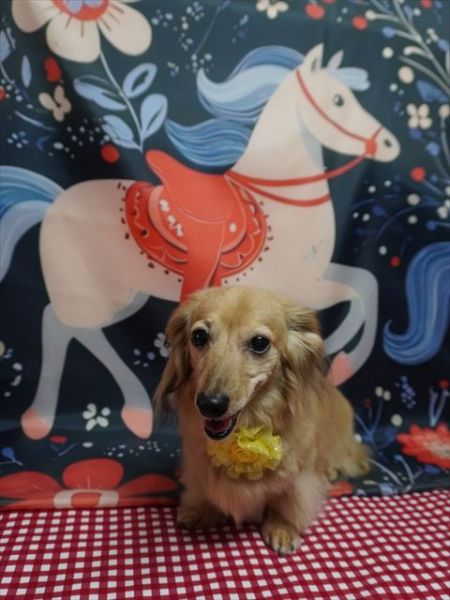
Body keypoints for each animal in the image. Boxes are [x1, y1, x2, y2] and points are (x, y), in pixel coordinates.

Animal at [0, 44, 400, 440]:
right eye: (339, 99)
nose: (390, 143)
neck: (278, 200)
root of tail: (52, 204)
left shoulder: (309, 281)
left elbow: (367, 287)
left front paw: (335, 359)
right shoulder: (301, 286)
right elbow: (363, 294)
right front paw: (342, 362)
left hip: (124, 296)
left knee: (62, 326)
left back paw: (53, 418)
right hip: (93, 295)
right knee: (68, 327)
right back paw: (117, 411)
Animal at [155, 286, 369, 554]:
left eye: (259, 343)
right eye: (199, 337)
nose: (210, 404)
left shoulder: (298, 479)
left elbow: (287, 502)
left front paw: (282, 527)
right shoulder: (199, 466)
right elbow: (205, 489)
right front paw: (202, 509)